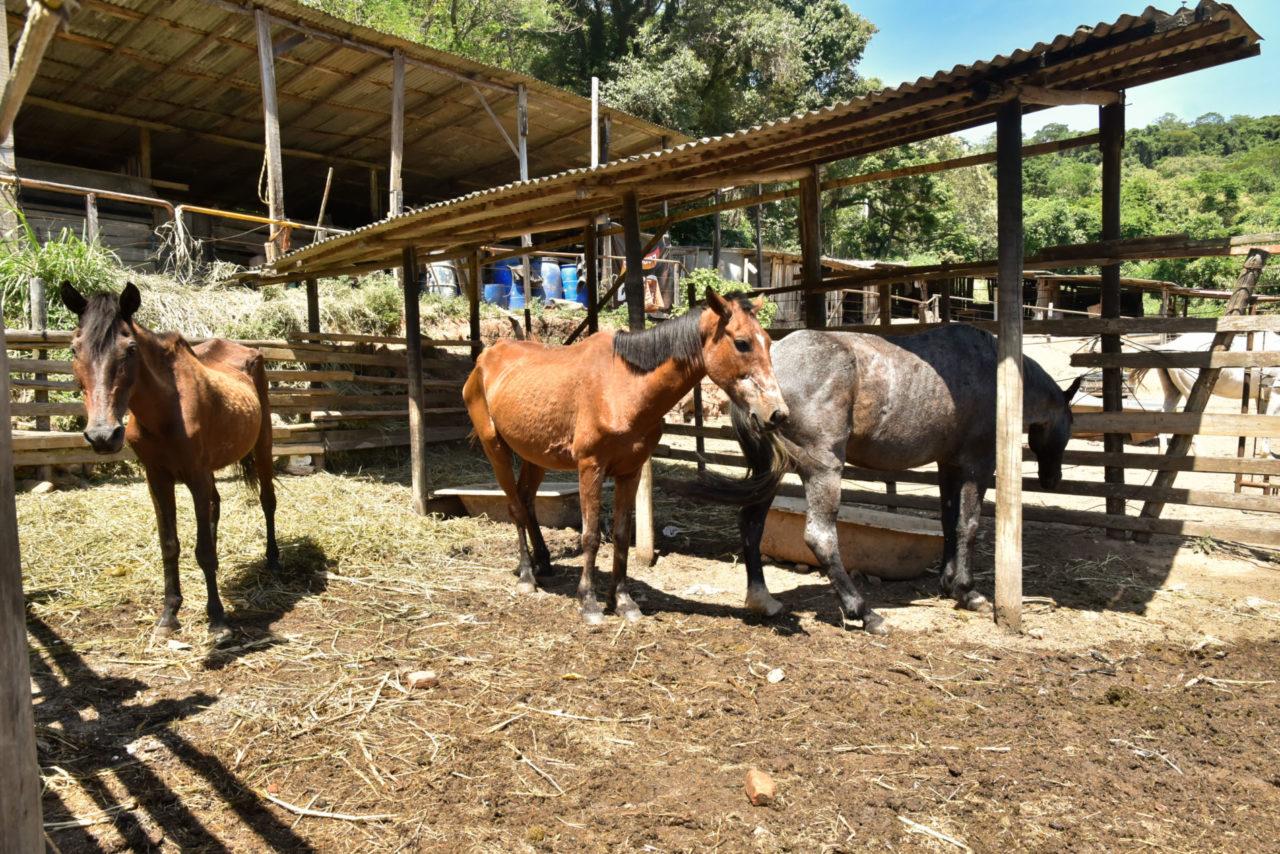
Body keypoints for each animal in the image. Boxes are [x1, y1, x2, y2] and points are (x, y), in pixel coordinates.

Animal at [61, 284, 279, 645]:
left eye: (130, 348)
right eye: (74, 348)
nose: (104, 435)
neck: (166, 411)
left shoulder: (194, 475)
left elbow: (202, 551)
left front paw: (218, 619)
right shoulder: (158, 479)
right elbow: (170, 545)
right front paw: (169, 615)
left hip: (262, 446)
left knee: (267, 501)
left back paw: (272, 559)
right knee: (215, 506)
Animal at [468, 290, 788, 624]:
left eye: (767, 341)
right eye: (742, 343)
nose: (777, 414)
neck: (623, 387)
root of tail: (486, 357)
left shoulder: (630, 471)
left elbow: (622, 534)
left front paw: (622, 601)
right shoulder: (590, 467)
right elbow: (591, 535)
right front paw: (589, 602)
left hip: (535, 457)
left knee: (527, 500)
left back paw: (543, 562)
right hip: (496, 450)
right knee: (516, 507)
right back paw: (527, 576)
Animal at [670, 325, 1080, 635]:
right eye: (1071, 423)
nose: (1053, 478)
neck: (996, 375)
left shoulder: (948, 467)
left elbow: (949, 523)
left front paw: (948, 584)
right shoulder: (976, 467)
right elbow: (968, 526)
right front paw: (968, 592)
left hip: (773, 472)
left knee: (752, 524)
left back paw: (763, 599)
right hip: (823, 470)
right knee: (820, 537)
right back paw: (864, 612)